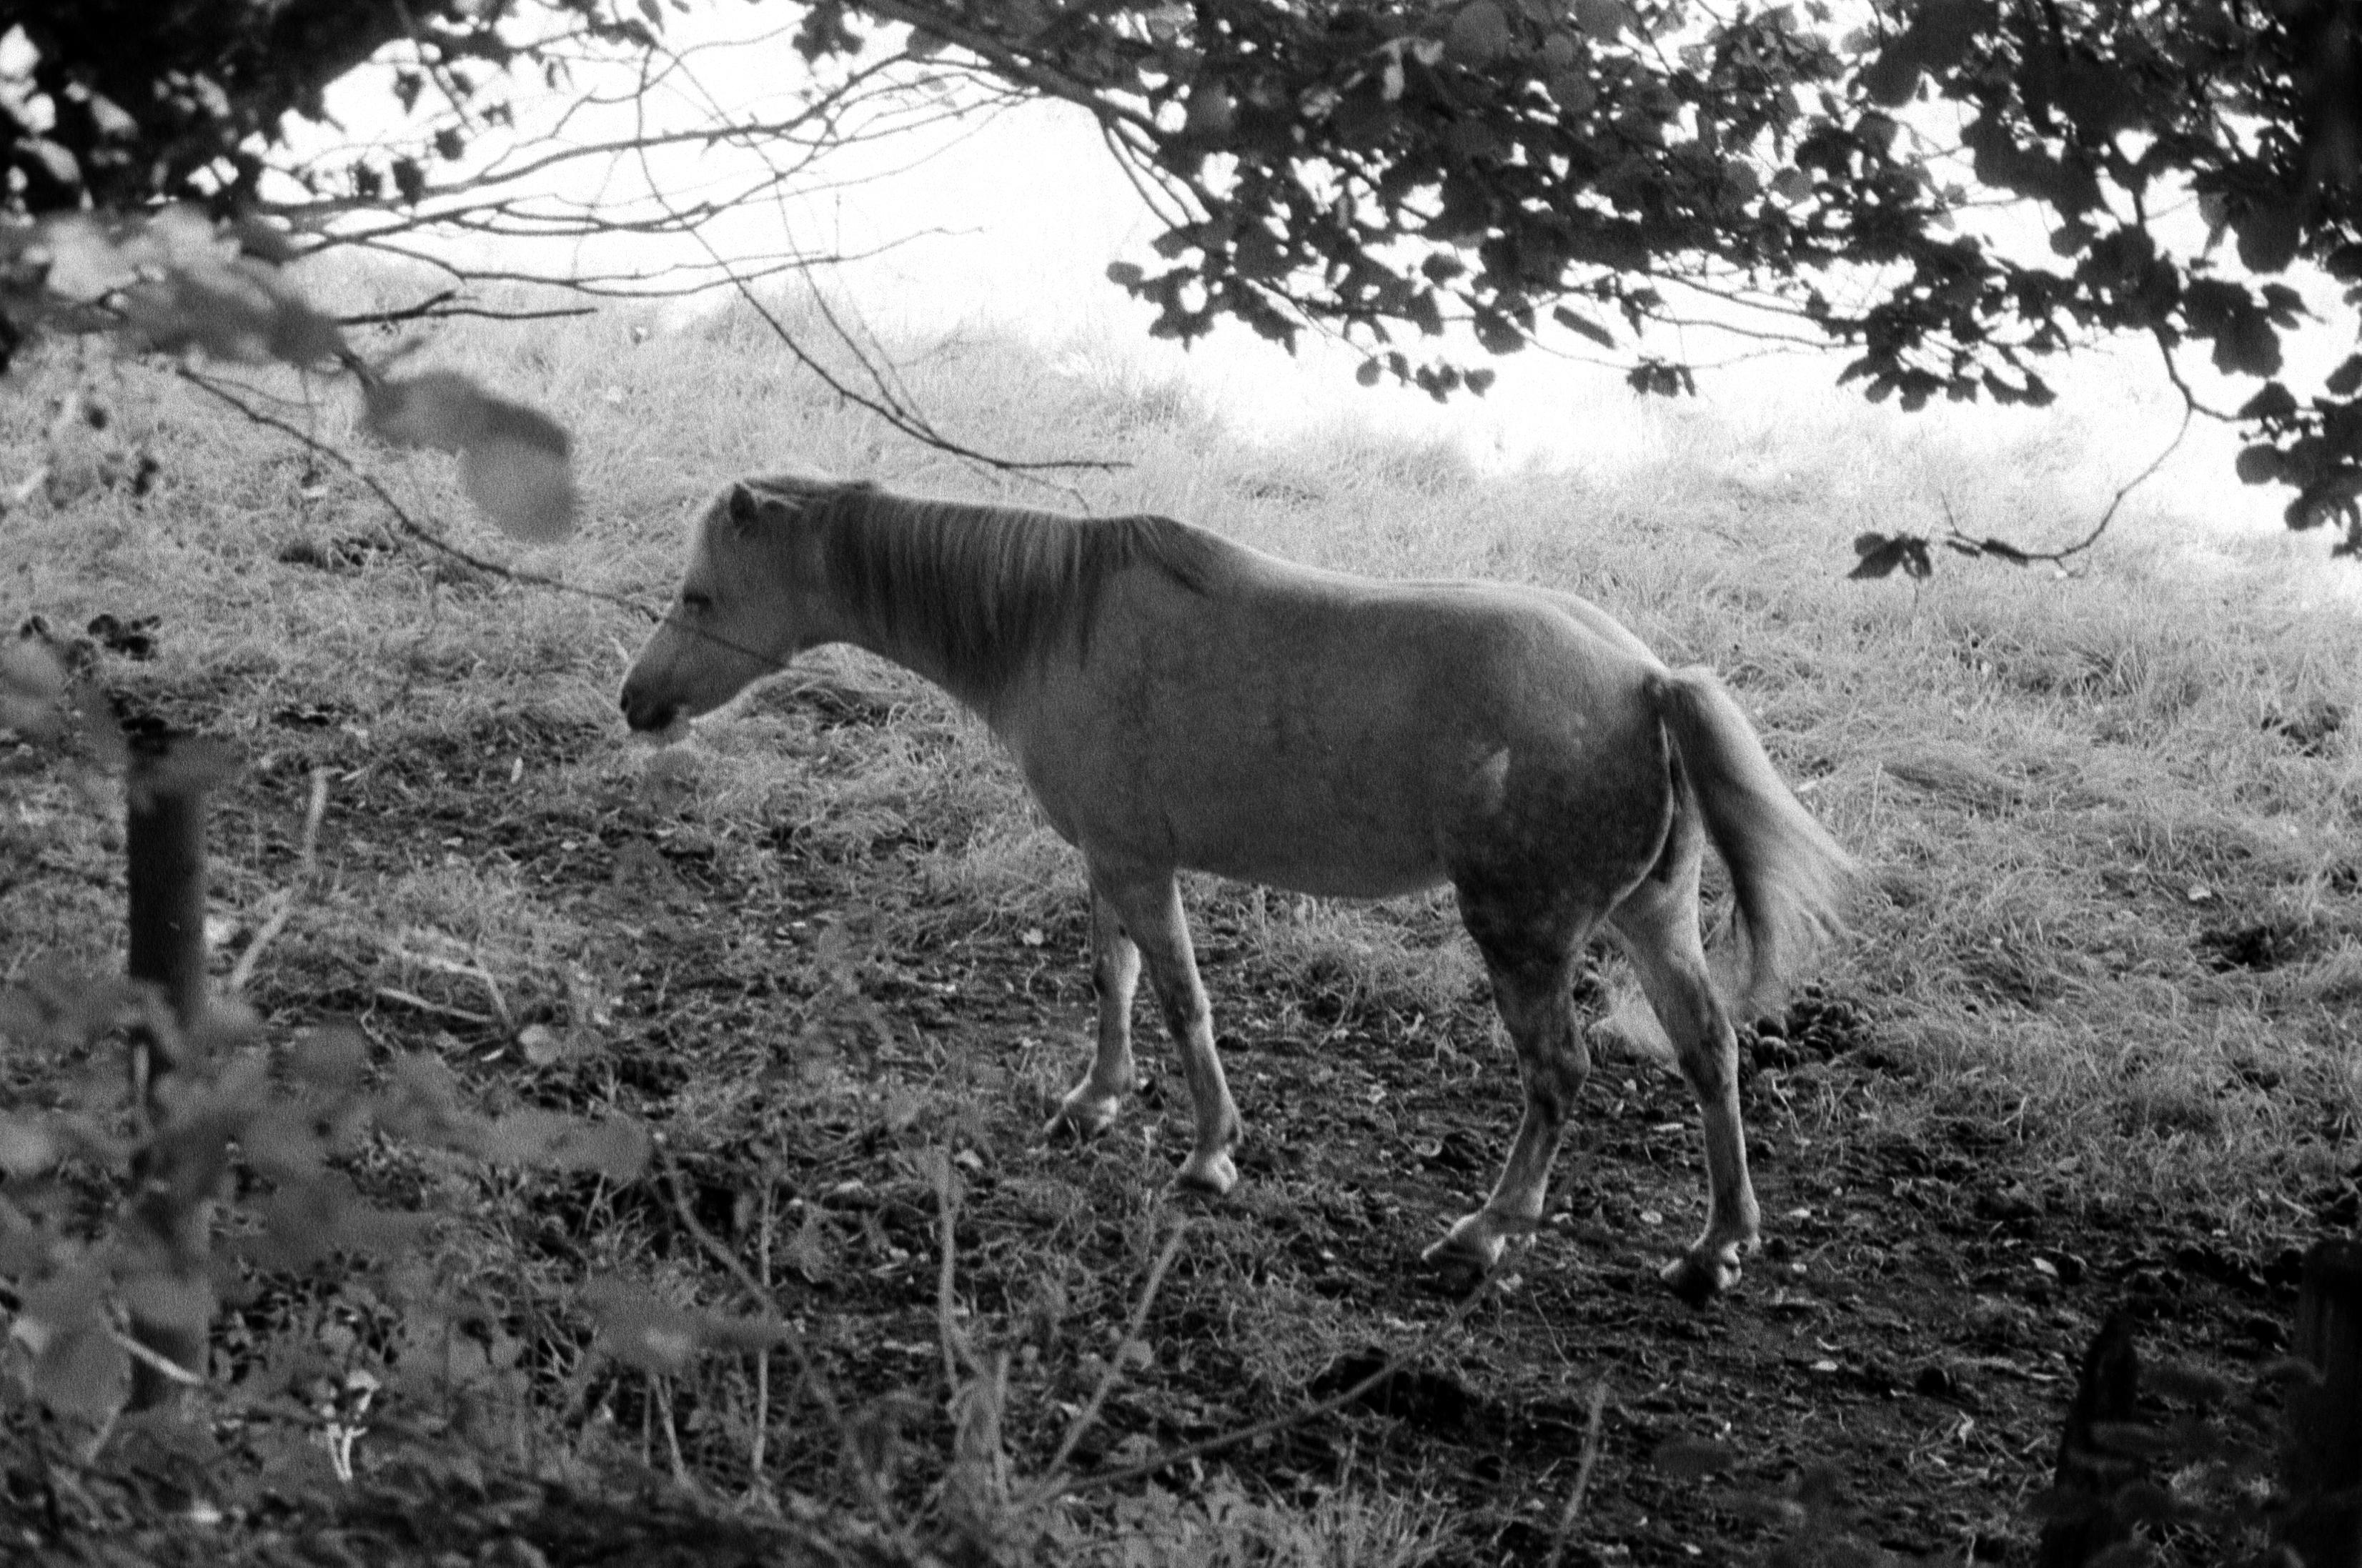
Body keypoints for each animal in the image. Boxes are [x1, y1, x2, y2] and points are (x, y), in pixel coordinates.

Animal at [620, 473, 1859, 1302]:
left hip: (1524, 933)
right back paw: (1716, 1246)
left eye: (700, 594)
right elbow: (1114, 981)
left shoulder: (1138, 864)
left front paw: (1211, 1148)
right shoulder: (1107, 859)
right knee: (1709, 1050)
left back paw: (1486, 1230)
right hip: (1654, 920)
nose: (635, 702)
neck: (1050, 622)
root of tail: (1649, 682)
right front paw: (1096, 1099)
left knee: (1557, 1073)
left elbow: (1181, 1001)